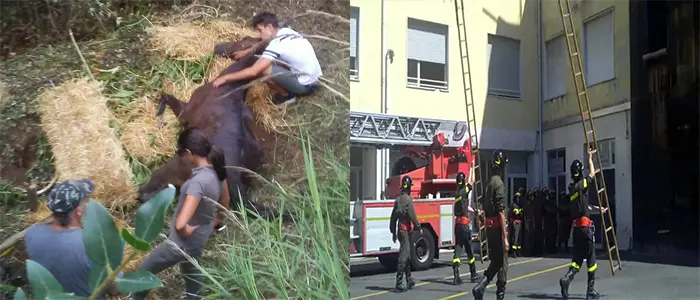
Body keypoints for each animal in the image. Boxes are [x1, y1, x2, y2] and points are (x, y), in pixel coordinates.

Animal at [137, 37, 268, 214]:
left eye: (241, 41)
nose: (217, 47)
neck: (229, 87)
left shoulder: (185, 112)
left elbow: (166, 96)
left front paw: (159, 116)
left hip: (177, 165)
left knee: (159, 182)